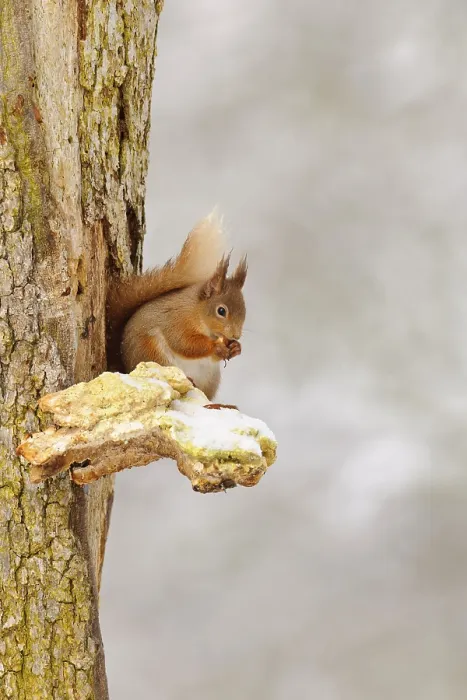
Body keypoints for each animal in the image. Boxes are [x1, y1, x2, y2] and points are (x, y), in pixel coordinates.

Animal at [106, 211, 247, 402]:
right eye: (221, 311)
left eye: (244, 309)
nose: (236, 335)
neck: (196, 311)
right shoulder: (176, 320)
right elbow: (183, 343)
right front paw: (216, 347)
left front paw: (235, 348)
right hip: (153, 354)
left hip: (210, 377)